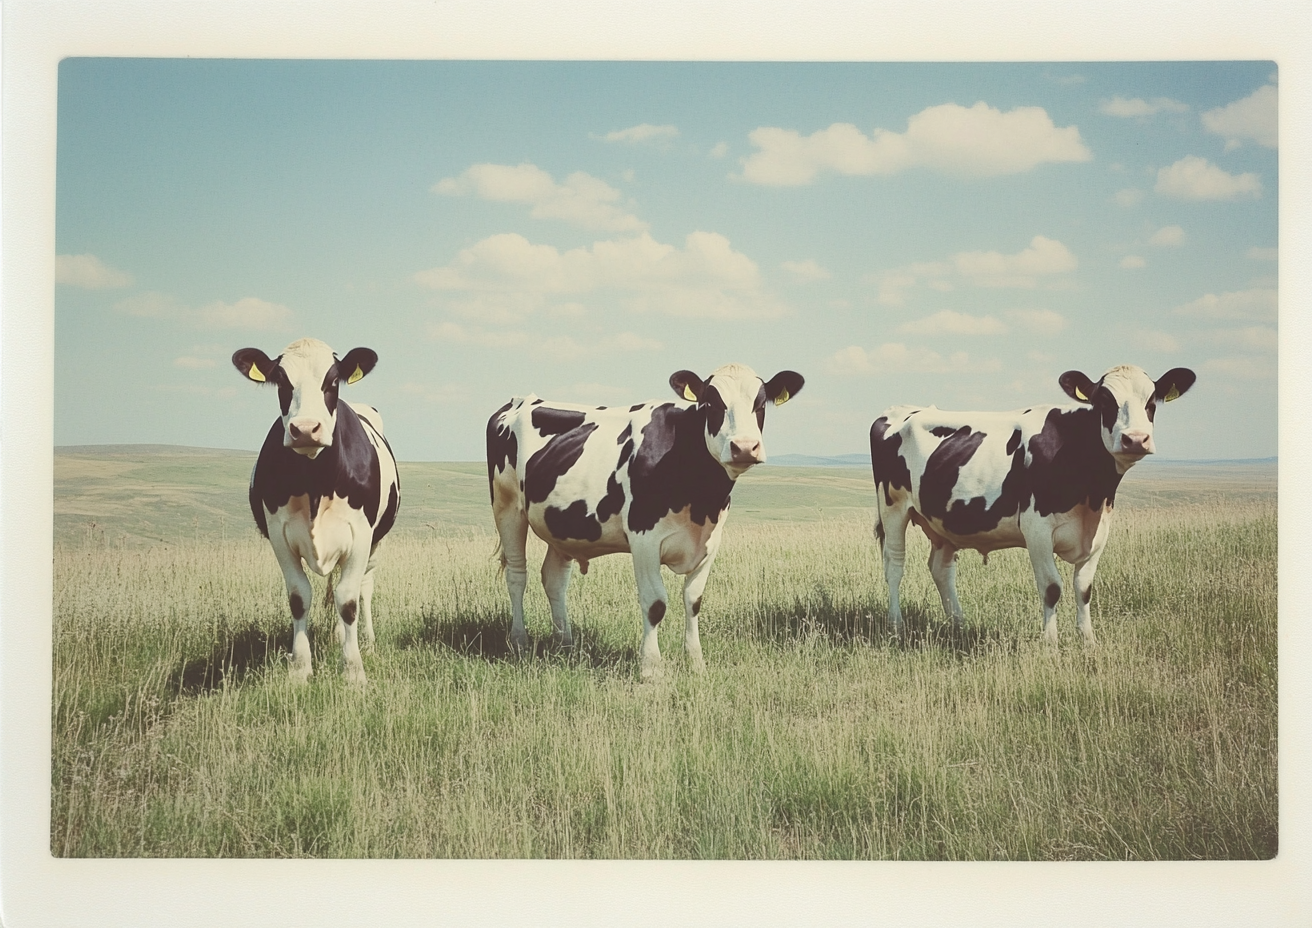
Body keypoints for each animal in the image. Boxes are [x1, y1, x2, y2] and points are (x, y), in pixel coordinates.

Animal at [230, 338, 401, 682]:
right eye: (281, 381)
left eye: (332, 381)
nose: (306, 429)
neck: (316, 484)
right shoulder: (279, 536)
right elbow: (300, 597)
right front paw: (299, 667)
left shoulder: (361, 535)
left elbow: (348, 599)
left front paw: (353, 670)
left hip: (377, 542)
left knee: (363, 588)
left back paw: (366, 642)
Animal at [488, 364, 802, 682]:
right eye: (712, 404)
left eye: (760, 405)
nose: (745, 447)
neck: (701, 500)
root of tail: (517, 401)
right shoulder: (645, 540)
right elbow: (655, 603)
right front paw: (651, 668)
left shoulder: (711, 542)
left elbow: (694, 600)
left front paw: (696, 663)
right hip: (507, 508)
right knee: (517, 575)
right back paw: (519, 641)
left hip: (562, 527)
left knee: (554, 580)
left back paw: (566, 643)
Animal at [871, 364, 1201, 645]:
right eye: (1104, 402)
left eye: (1152, 402)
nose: (1135, 439)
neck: (1092, 495)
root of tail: (898, 410)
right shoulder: (1037, 530)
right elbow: (1052, 588)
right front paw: (1051, 645)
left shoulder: (1100, 531)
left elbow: (1084, 588)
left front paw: (1089, 643)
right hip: (893, 507)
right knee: (894, 565)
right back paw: (896, 627)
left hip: (943, 522)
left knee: (941, 569)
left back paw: (959, 626)